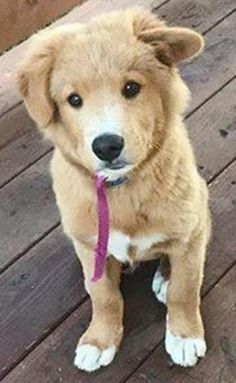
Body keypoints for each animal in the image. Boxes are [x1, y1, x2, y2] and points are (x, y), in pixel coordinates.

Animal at [18, 7, 210, 374]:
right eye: (73, 100)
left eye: (131, 88)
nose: (107, 146)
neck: (121, 191)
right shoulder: (88, 243)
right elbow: (103, 296)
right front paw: (99, 340)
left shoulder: (188, 235)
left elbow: (185, 288)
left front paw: (184, 335)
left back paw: (165, 276)